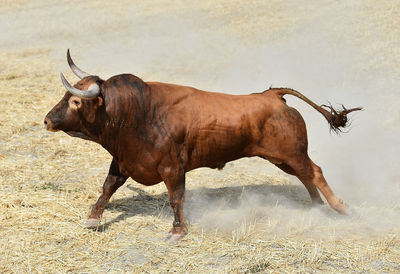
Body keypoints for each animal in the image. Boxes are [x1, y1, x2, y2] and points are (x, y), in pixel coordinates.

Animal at [44, 49, 362, 240]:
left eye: (75, 101)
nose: (47, 120)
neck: (139, 114)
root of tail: (271, 95)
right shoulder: (122, 162)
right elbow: (107, 188)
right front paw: (92, 219)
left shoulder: (173, 168)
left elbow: (176, 198)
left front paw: (177, 231)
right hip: (282, 159)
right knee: (306, 177)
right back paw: (316, 208)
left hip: (292, 153)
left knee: (315, 172)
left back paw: (341, 208)